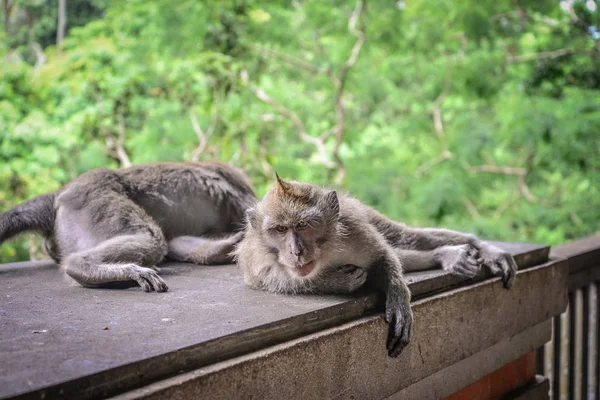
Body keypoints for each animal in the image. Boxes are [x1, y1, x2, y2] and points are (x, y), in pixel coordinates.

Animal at [234, 177, 516, 358]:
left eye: (304, 225)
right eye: (280, 229)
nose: (296, 251)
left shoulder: (354, 230)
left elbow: (382, 256)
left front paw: (398, 299)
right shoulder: (261, 266)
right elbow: (289, 281)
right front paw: (340, 281)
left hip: (364, 213)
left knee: (406, 238)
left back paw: (479, 247)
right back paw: (447, 255)